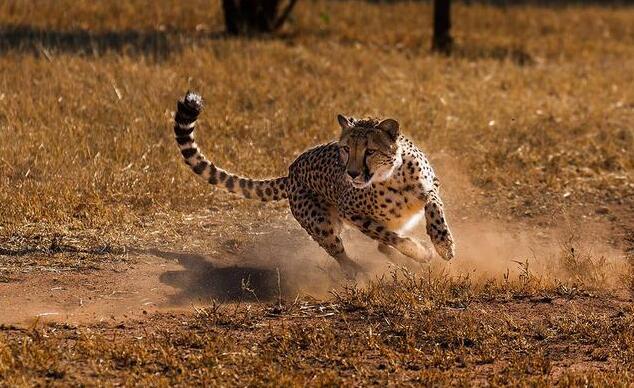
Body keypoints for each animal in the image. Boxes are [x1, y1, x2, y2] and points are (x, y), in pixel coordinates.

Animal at [173, 91, 454, 276]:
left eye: (370, 151)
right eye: (345, 149)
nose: (352, 174)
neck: (390, 177)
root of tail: (291, 170)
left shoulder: (431, 185)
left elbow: (433, 206)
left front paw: (442, 244)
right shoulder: (351, 212)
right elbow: (387, 235)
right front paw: (420, 250)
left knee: (382, 246)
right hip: (319, 222)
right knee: (342, 250)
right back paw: (359, 272)